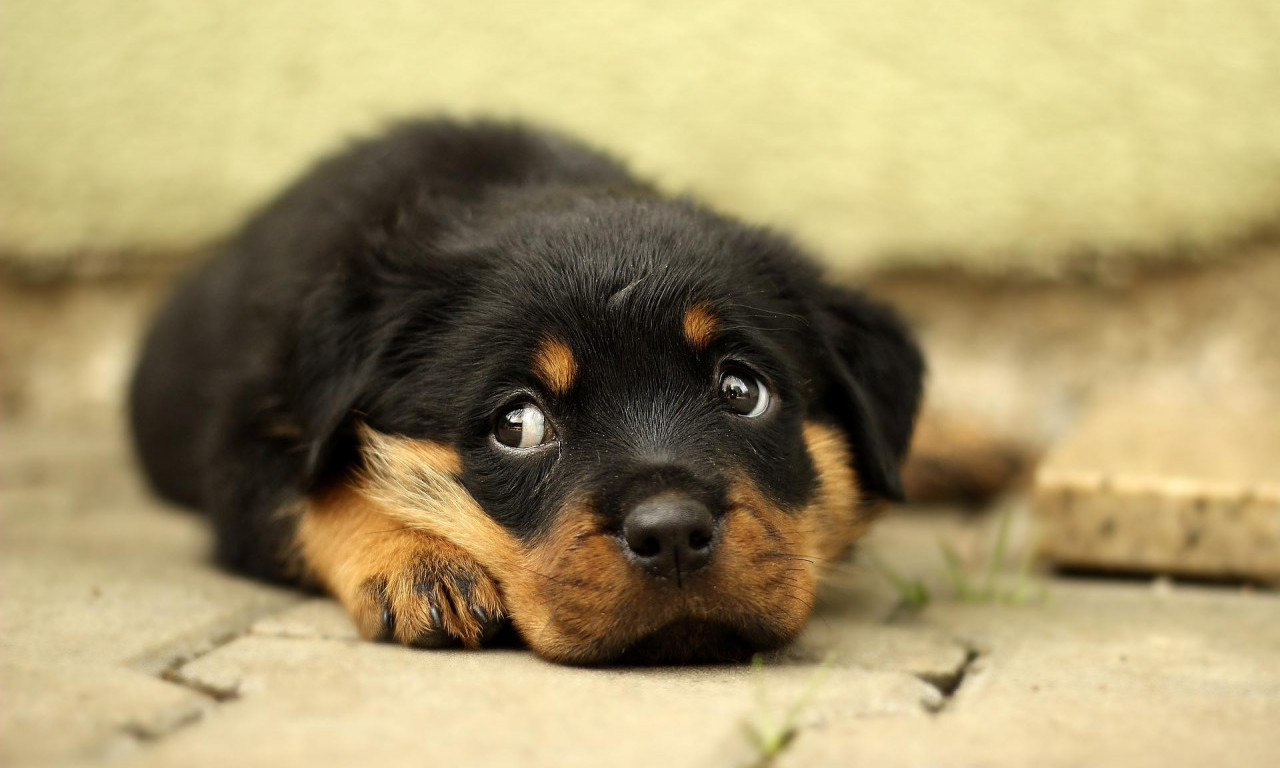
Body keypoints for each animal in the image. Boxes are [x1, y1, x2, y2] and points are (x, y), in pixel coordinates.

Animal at [129, 117, 926, 660]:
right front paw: (416, 563)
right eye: (519, 424)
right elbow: (318, 493)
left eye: (741, 391)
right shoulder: (253, 436)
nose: (671, 533)